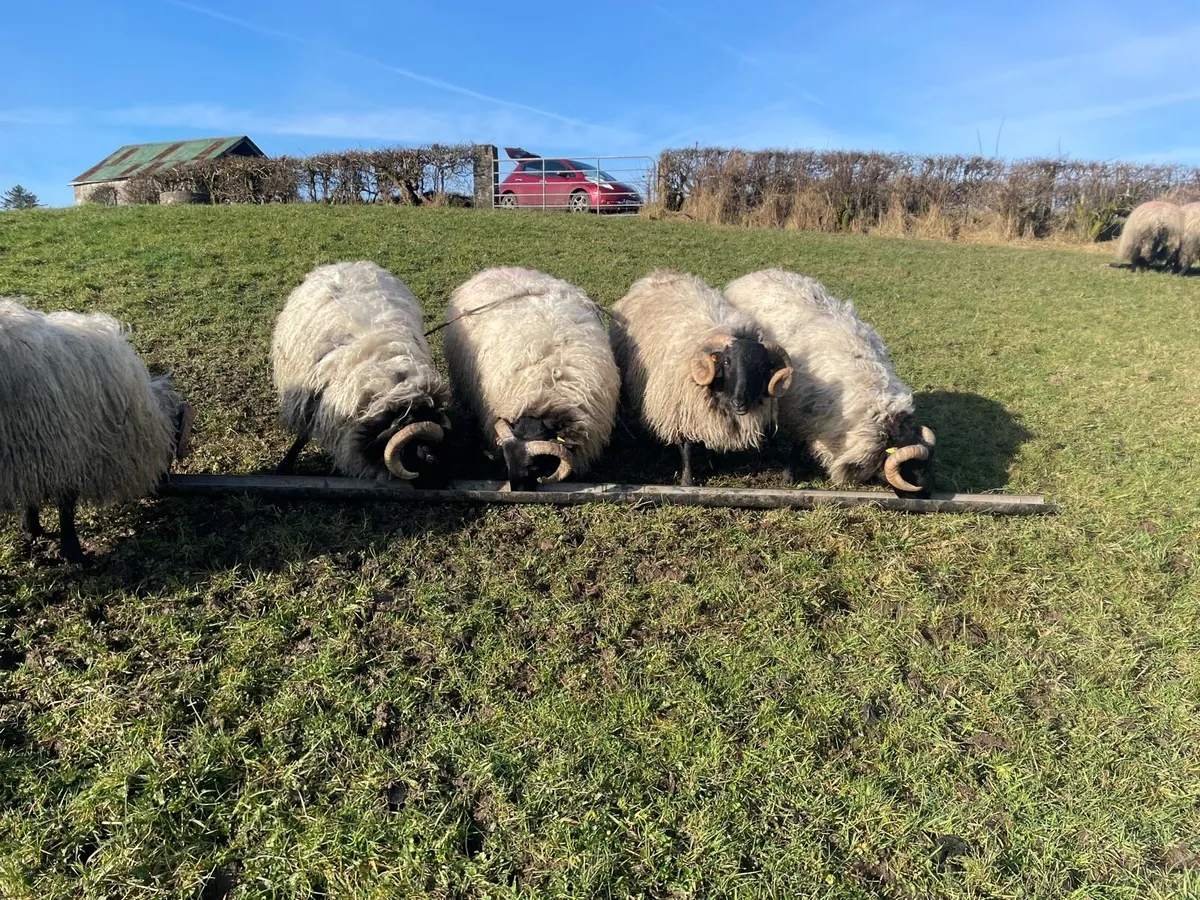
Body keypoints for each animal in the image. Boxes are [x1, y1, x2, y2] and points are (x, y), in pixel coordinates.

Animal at [0, 298, 194, 562]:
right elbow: (66, 501)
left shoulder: (37, 450)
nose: (163, 483)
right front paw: (73, 552)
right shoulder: (65, 446)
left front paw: (31, 526)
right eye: (173, 447)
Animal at [270, 261, 452, 484]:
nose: (443, 485)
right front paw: (283, 466)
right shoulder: (310, 399)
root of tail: (346, 264)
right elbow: (302, 436)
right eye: (429, 456)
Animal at [608, 269, 793, 486]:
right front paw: (687, 480)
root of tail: (659, 273)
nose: (740, 401)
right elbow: (686, 447)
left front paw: (713, 463)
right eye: (726, 362)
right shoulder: (681, 408)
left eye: (763, 367)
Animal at [723, 268, 936, 497]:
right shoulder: (803, 409)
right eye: (908, 466)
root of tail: (757, 273)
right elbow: (798, 443)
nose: (925, 495)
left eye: (926, 466)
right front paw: (789, 477)